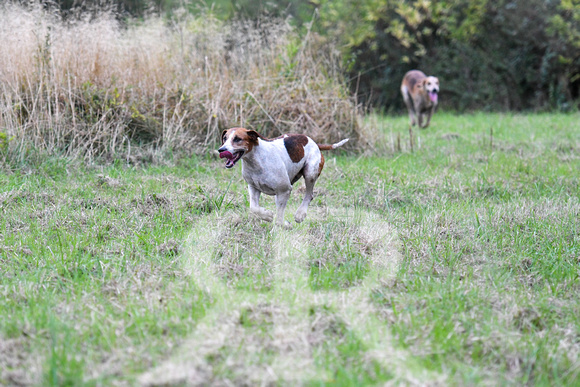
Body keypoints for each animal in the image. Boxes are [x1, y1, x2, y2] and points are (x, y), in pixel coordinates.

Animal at [216, 129, 344, 229]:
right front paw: (267, 215)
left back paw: (300, 214)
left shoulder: (284, 191)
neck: (256, 160)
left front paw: (282, 226)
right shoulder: (253, 188)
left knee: (309, 195)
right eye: (225, 138)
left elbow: (279, 219)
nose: (221, 149)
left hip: (310, 173)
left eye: (237, 139)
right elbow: (254, 208)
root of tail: (314, 142)